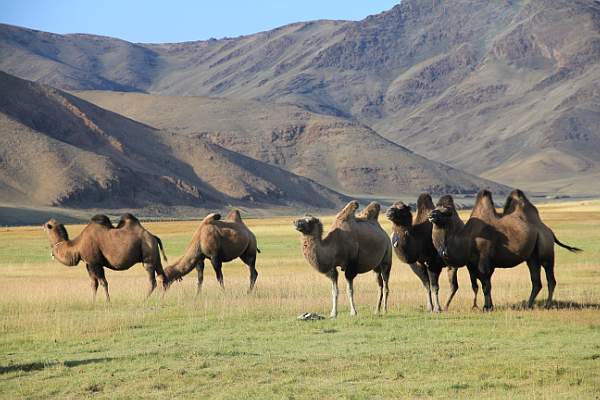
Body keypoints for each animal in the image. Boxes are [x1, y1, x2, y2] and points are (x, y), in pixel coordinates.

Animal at [428, 189, 580, 310]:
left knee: (550, 278)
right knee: (536, 281)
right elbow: (479, 285)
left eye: (445, 212)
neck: (467, 239)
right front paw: (483, 306)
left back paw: (547, 305)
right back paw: (528, 305)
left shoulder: (484, 261)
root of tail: (549, 231)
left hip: (546, 251)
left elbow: (486, 285)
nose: (431, 215)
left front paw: (487, 307)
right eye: (435, 208)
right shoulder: (472, 265)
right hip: (532, 257)